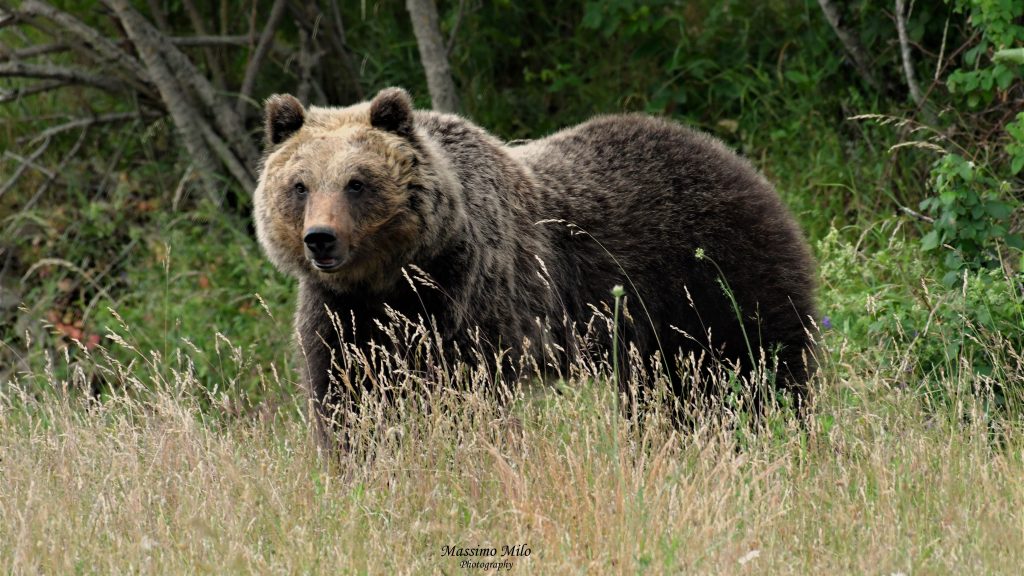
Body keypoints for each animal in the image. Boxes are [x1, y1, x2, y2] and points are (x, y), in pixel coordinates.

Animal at [253, 87, 817, 442]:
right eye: (299, 185)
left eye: (357, 182)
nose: (320, 240)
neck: (396, 278)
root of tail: (736, 161)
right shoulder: (343, 316)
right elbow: (348, 397)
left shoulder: (473, 303)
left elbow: (465, 398)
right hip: (660, 334)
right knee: (674, 392)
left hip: (713, 275)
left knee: (757, 363)